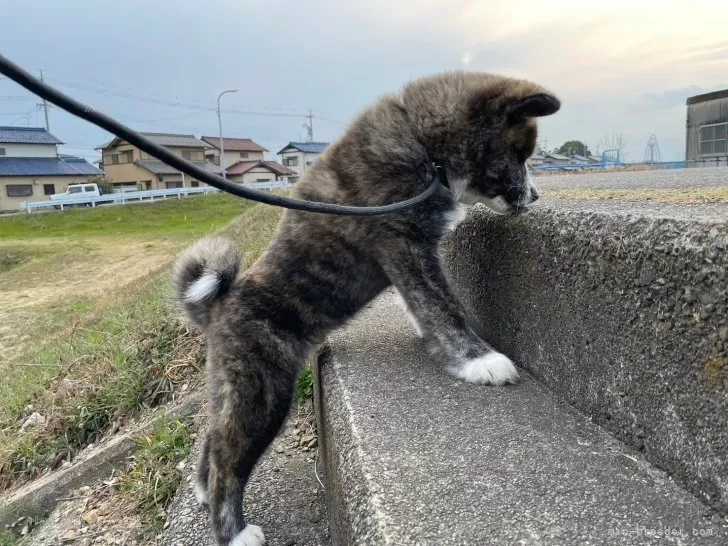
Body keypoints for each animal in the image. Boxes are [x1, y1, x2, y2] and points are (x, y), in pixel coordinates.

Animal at [173, 72, 560, 544]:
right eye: (519, 156)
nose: (536, 197)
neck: (424, 147)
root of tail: (219, 306)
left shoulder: (409, 254)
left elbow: (425, 307)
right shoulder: (404, 244)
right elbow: (444, 307)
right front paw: (478, 360)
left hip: (233, 389)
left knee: (214, 441)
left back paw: (203, 490)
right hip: (262, 393)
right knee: (230, 461)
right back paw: (232, 531)